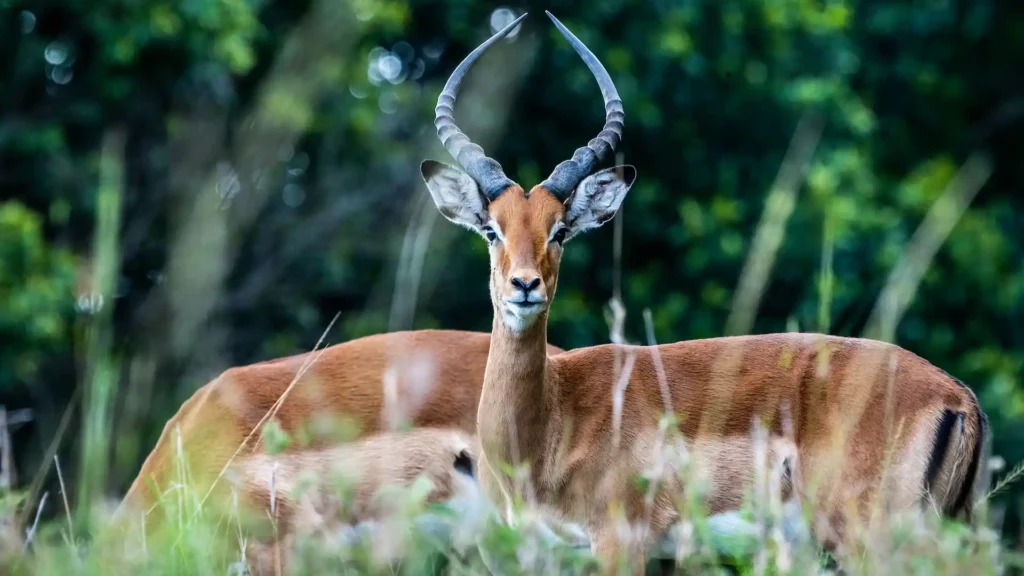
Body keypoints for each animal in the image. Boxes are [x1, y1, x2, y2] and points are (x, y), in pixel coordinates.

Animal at [419, 11, 987, 569]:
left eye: (559, 230)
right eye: (492, 230)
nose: (525, 285)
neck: (551, 421)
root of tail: (958, 396)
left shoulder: (621, 542)